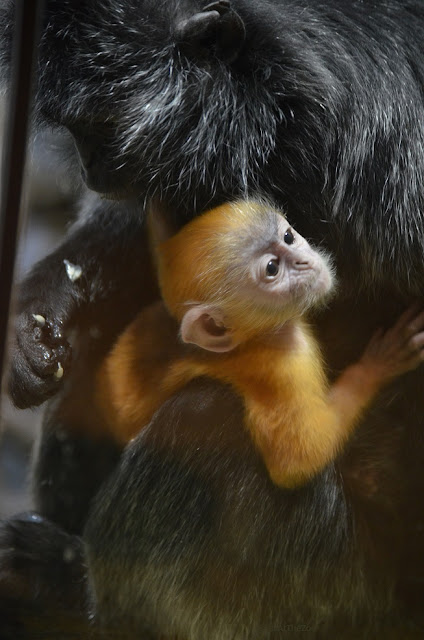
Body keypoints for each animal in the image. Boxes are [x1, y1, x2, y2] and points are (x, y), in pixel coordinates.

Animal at [97, 202, 424, 488]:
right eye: (272, 268)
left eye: (288, 237)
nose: (304, 260)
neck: (254, 338)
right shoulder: (285, 363)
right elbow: (299, 461)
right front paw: (377, 366)